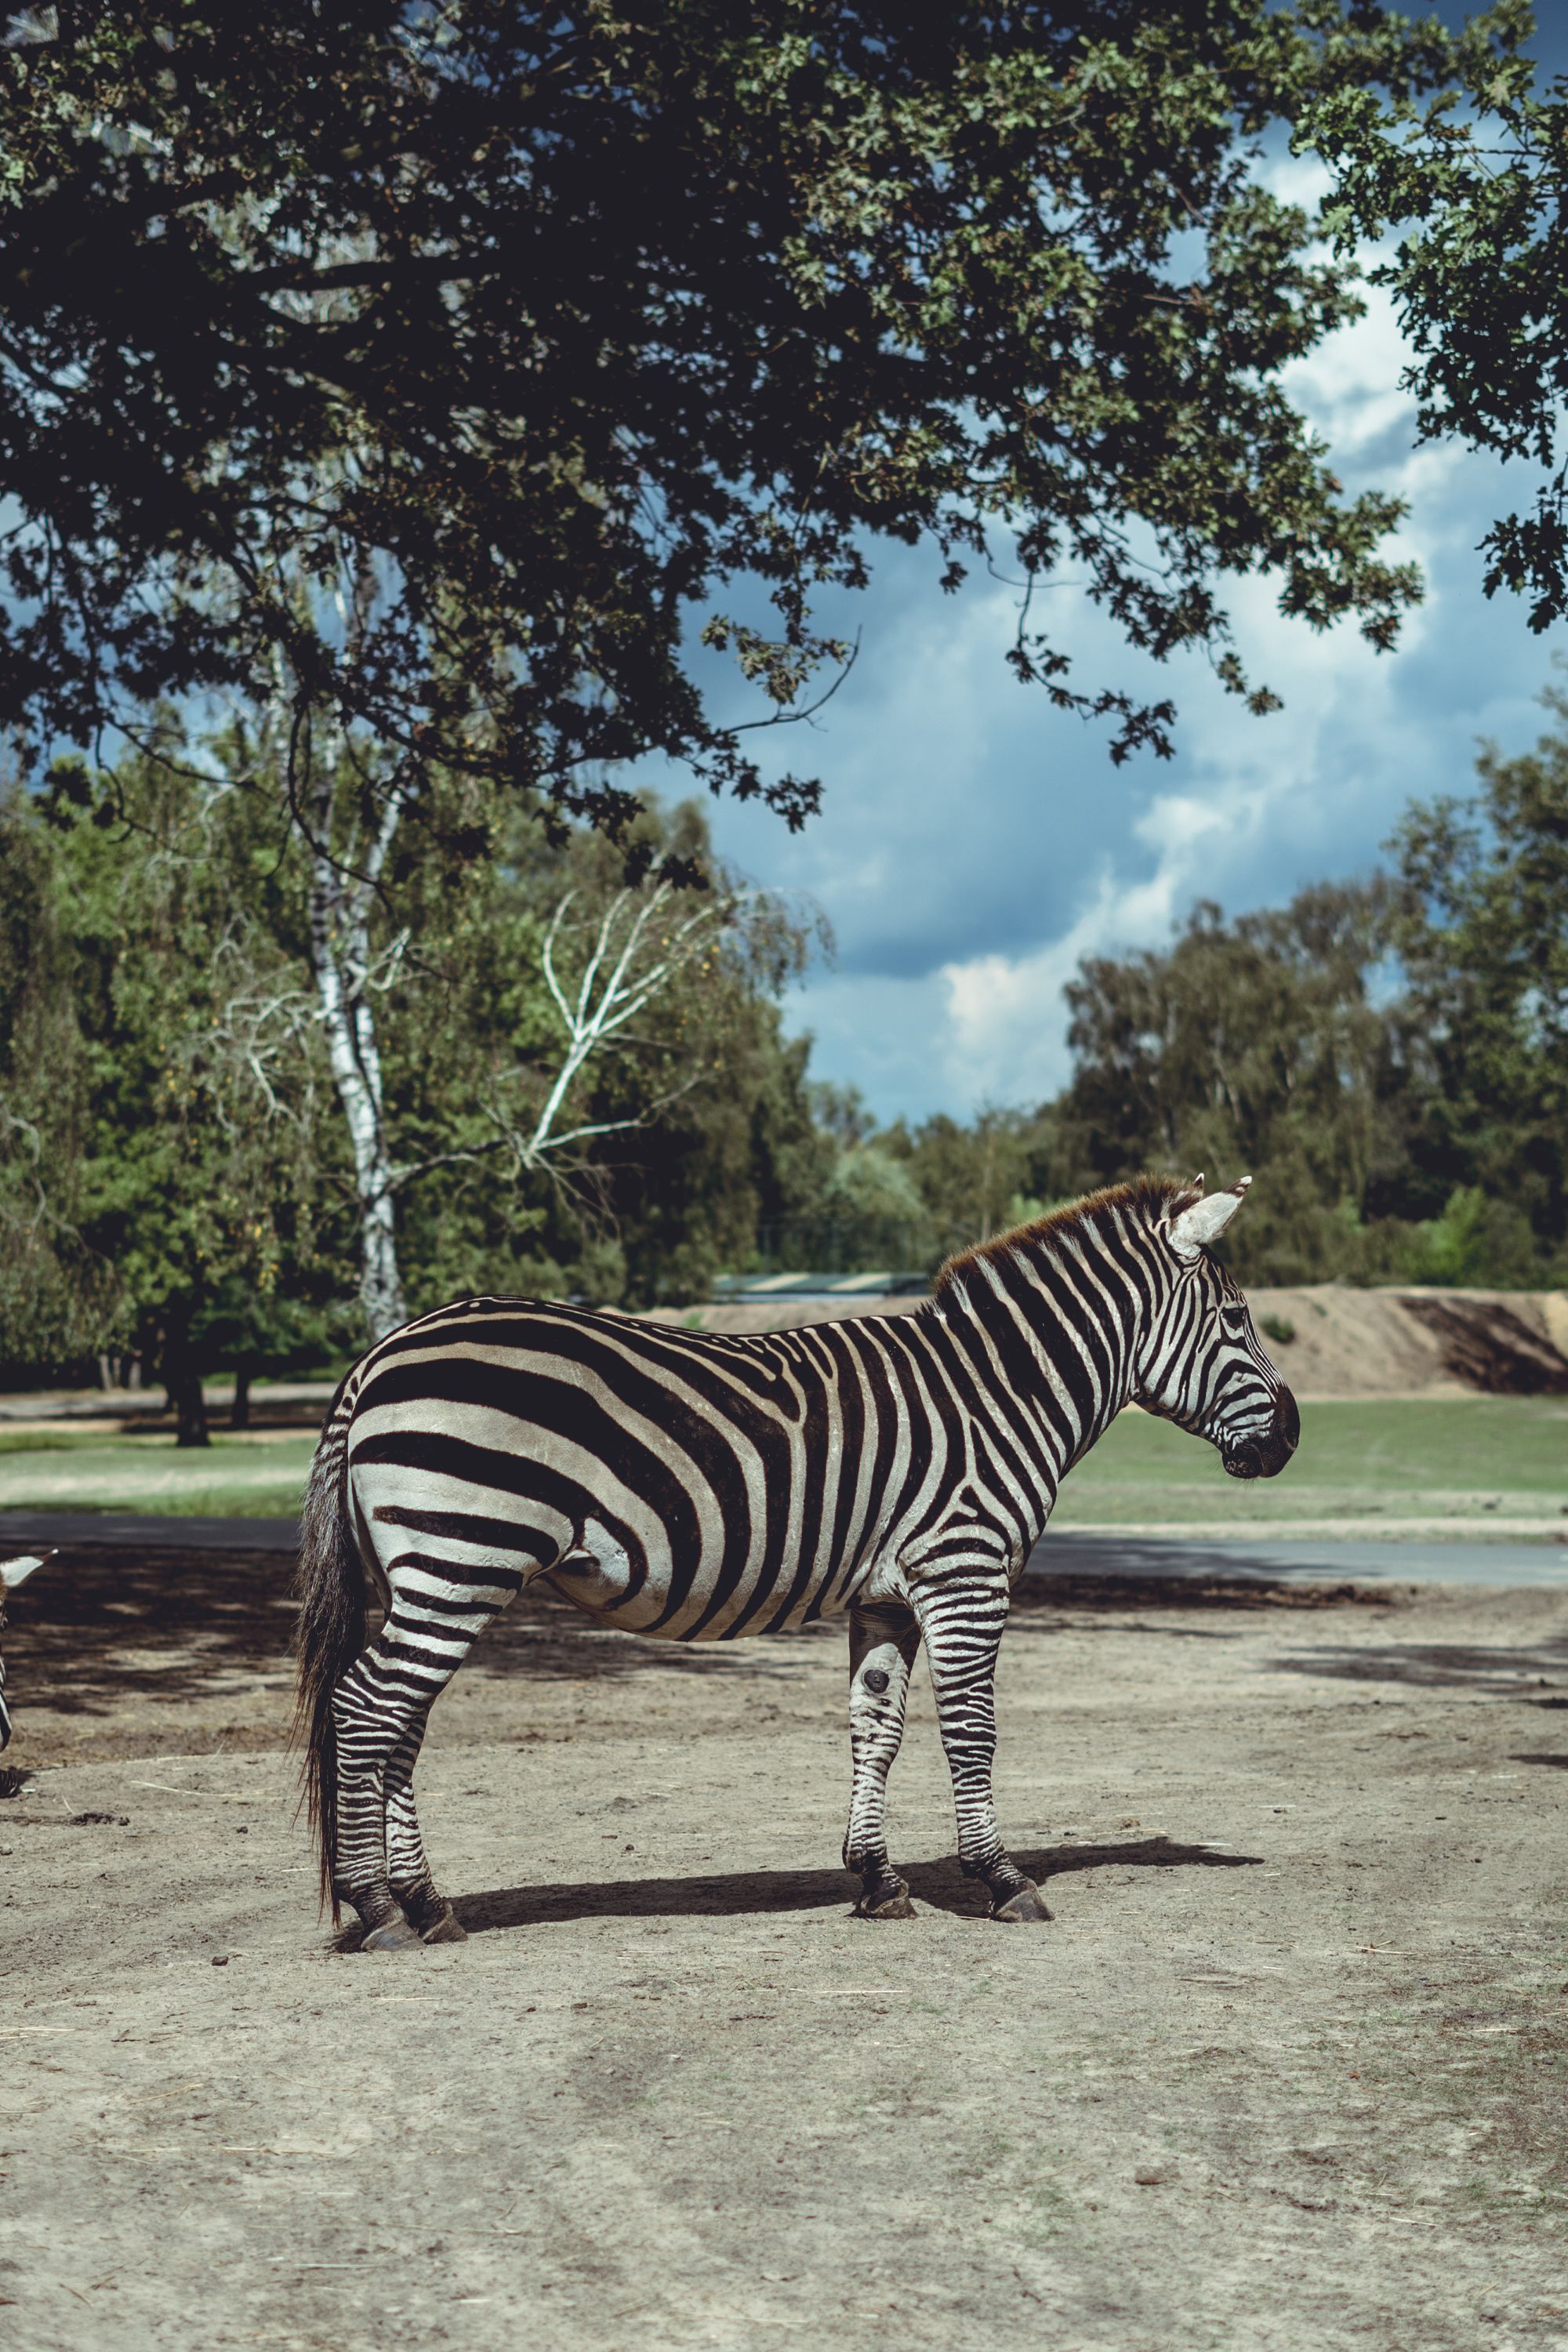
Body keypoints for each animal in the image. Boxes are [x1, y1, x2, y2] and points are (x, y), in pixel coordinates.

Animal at [295, 1172, 1298, 1951]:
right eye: (1237, 1318)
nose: (1290, 1438)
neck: (1001, 1390)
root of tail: (379, 1354)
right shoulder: (964, 1569)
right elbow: (970, 1731)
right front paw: (1002, 1880)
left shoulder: (887, 1591)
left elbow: (876, 1728)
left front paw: (877, 1879)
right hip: (460, 1560)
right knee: (365, 1708)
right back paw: (377, 1908)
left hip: (434, 1573)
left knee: (400, 1723)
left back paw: (427, 1902)